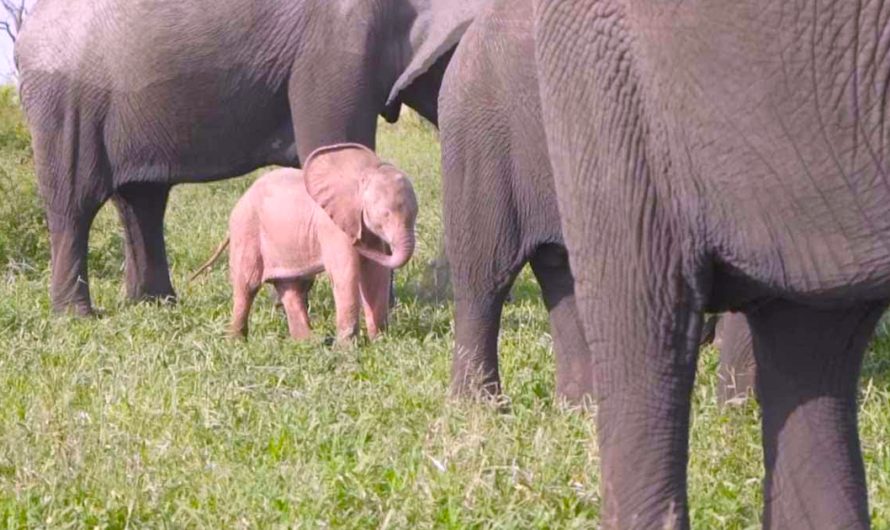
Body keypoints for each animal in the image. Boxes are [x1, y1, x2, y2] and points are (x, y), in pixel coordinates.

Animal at [15, 0, 486, 314]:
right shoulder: (336, 46)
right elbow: (330, 150)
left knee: (142, 202)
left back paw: (156, 304)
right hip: (68, 105)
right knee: (75, 203)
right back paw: (78, 316)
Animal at [193, 143, 418, 342]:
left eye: (416, 214)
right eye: (385, 215)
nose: (358, 242)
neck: (363, 173)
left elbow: (375, 273)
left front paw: (380, 342)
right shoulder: (332, 227)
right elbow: (346, 273)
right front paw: (346, 349)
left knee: (293, 287)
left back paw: (309, 342)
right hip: (246, 231)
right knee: (247, 286)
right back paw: (237, 342)